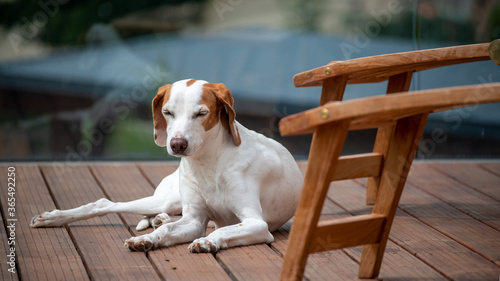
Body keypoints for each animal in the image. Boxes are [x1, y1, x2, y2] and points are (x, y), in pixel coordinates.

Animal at [32, 78, 304, 252]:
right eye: (167, 112)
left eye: (201, 113)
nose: (177, 145)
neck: (208, 164)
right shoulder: (194, 220)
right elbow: (167, 232)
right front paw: (148, 238)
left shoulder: (256, 224)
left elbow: (222, 230)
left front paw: (208, 241)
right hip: (167, 199)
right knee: (105, 203)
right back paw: (53, 218)